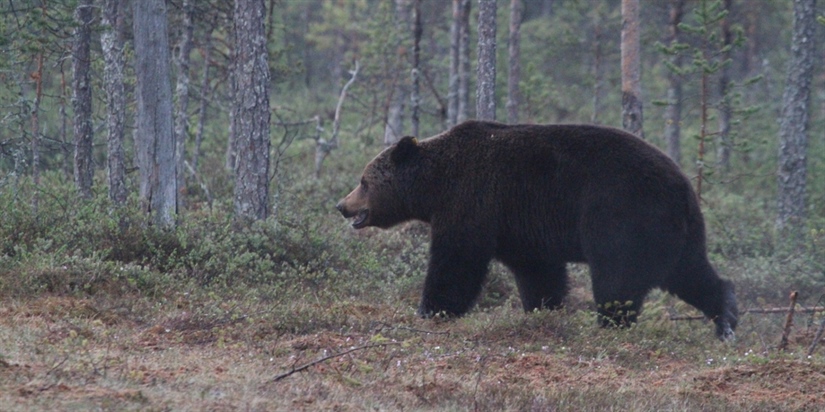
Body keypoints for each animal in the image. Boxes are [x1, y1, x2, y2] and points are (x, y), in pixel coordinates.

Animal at [338, 120, 736, 340]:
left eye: (364, 181)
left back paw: (610, 322)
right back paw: (726, 319)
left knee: (618, 276)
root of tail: (683, 185)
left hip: (623, 213)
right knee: (690, 272)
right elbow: (538, 271)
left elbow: (456, 260)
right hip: (675, 231)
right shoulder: (520, 224)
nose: (342, 205)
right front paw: (542, 308)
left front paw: (431, 309)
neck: (435, 184)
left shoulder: (473, 200)